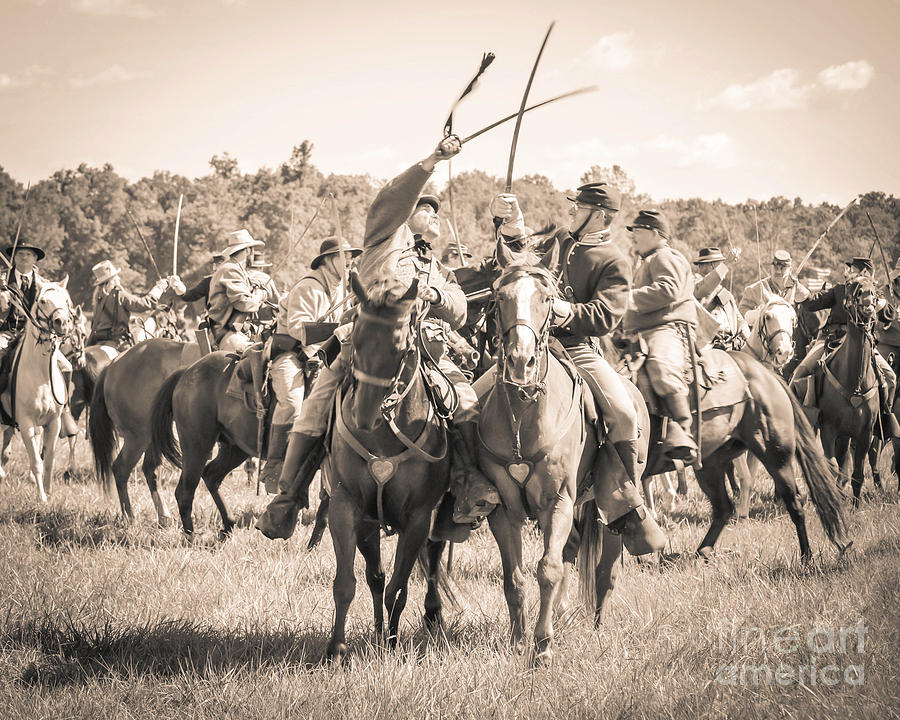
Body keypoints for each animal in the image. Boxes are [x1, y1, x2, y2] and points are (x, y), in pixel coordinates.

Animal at [0, 280, 76, 500]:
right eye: (43, 301)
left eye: (66, 300)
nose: (62, 323)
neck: (40, 374)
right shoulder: (26, 424)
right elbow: (36, 462)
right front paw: (41, 497)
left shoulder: (54, 422)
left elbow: (48, 459)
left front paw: (49, 493)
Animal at [88, 338, 200, 524]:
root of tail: (111, 366)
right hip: (138, 437)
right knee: (121, 469)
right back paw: (129, 517)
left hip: (151, 436)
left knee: (149, 469)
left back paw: (162, 515)